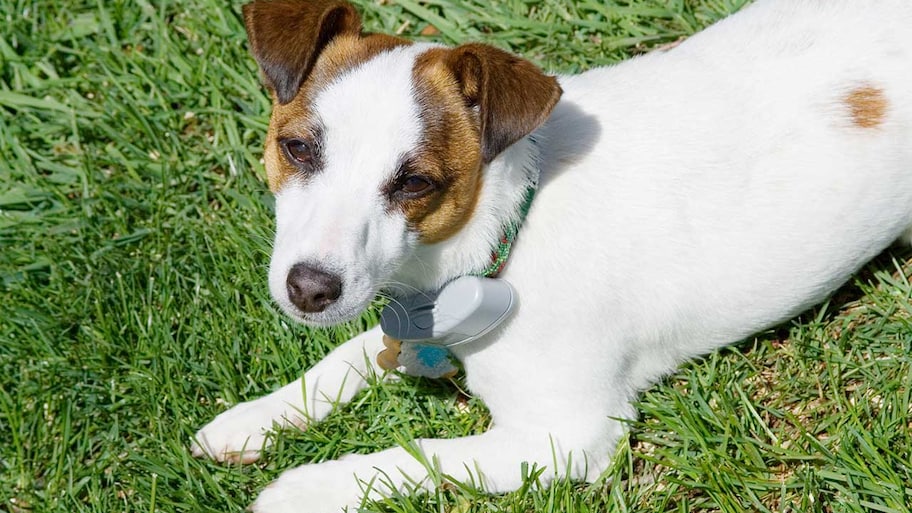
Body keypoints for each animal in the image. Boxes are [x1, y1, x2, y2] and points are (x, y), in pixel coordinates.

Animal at [191, 2, 912, 510]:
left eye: (415, 183)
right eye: (297, 148)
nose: (310, 289)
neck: (511, 225)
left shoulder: (565, 437)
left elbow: (416, 452)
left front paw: (305, 488)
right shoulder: (412, 321)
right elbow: (346, 356)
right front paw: (252, 420)